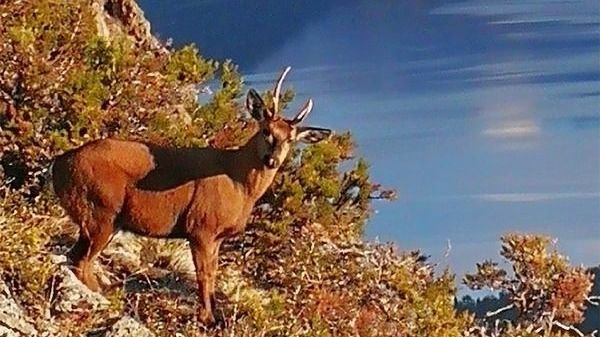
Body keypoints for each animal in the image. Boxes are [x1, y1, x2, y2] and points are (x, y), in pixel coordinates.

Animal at [50, 67, 332, 324]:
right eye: (266, 131)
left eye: (290, 140)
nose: (272, 160)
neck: (239, 183)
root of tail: (59, 164)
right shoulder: (200, 226)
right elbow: (204, 275)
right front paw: (206, 317)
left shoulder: (217, 236)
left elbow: (214, 273)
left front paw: (215, 315)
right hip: (100, 211)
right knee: (81, 261)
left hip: (97, 219)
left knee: (73, 258)